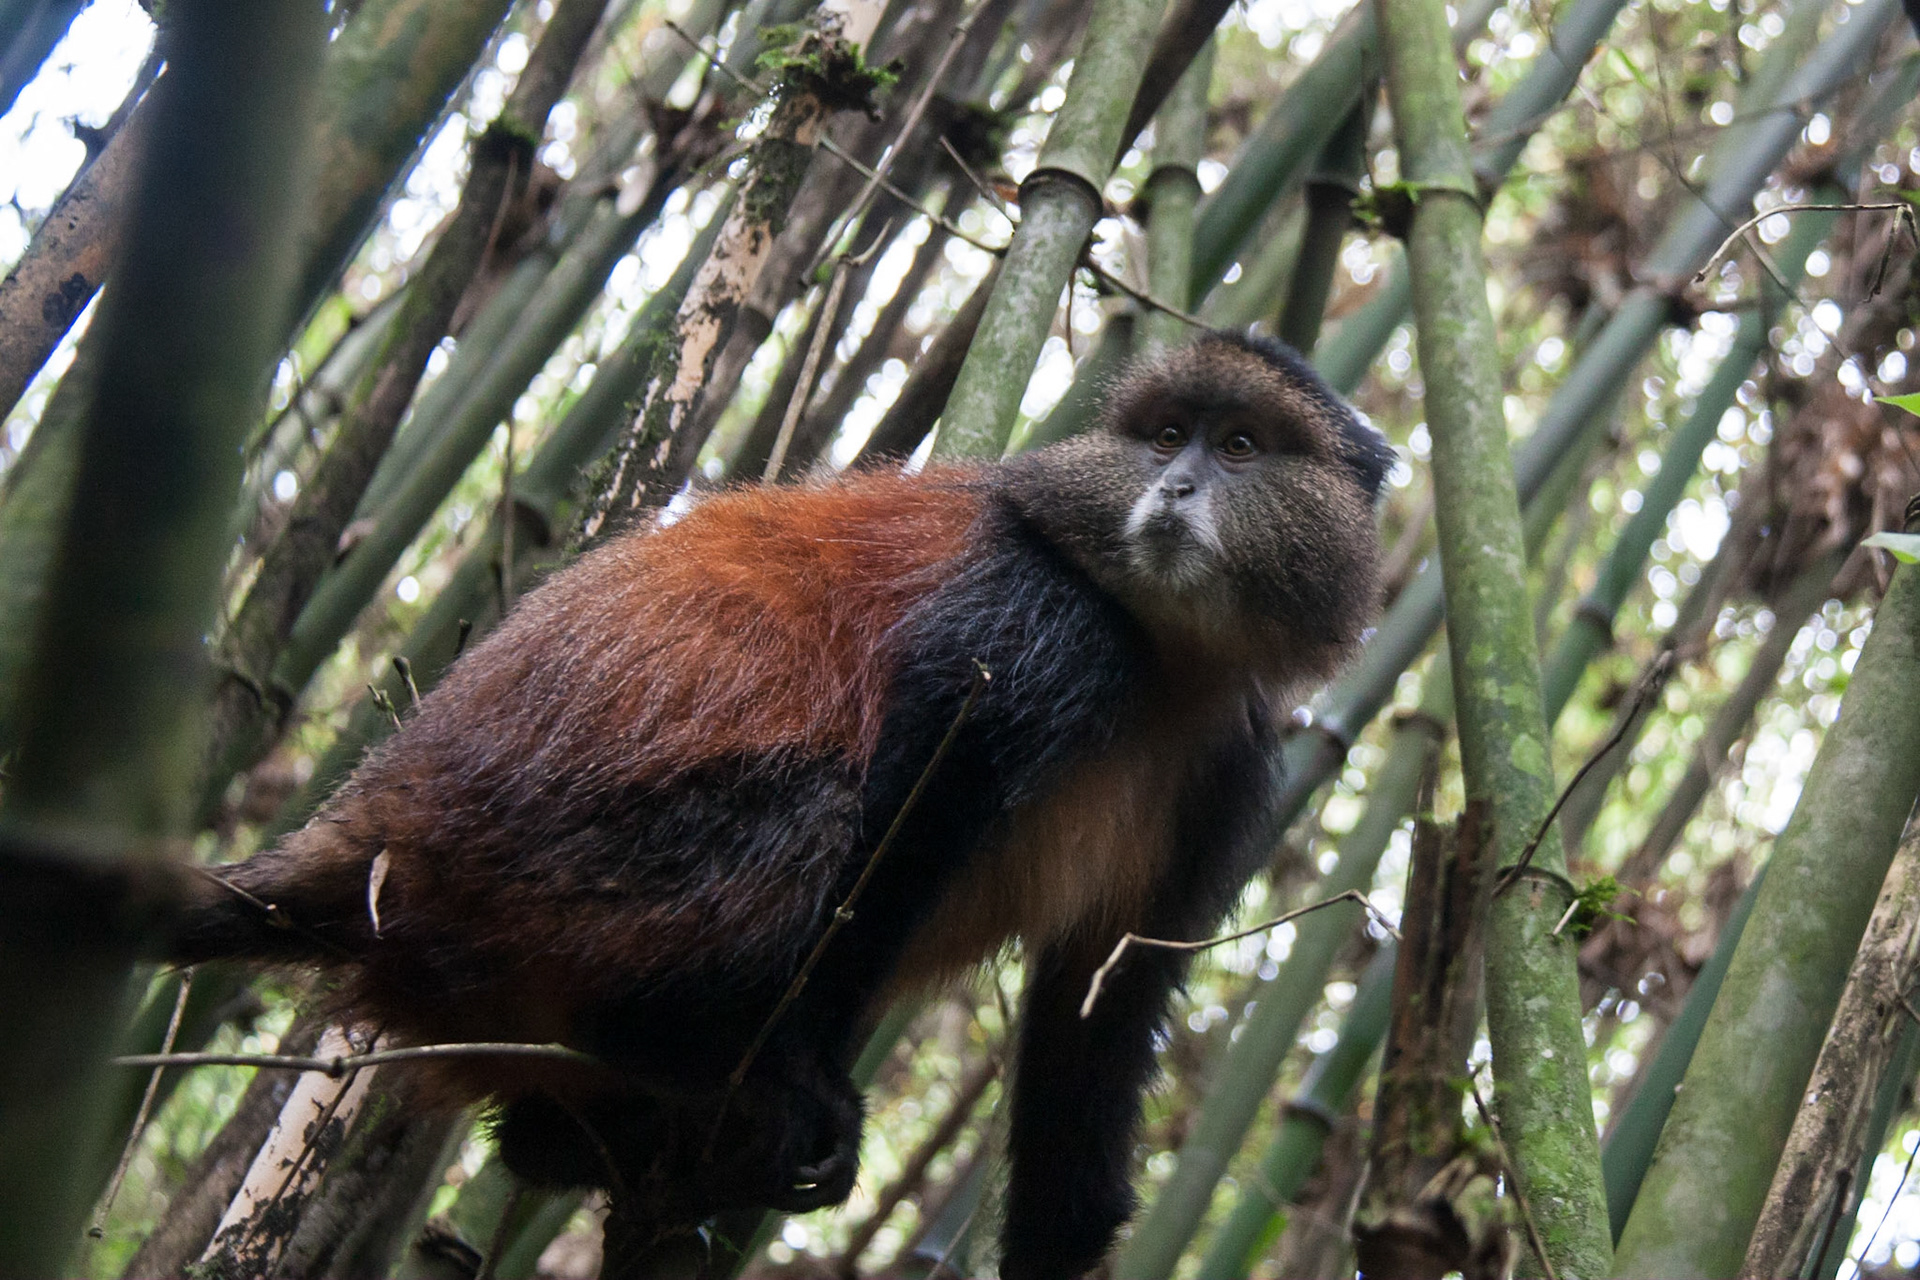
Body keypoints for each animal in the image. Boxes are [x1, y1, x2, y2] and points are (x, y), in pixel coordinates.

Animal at [165, 330, 1393, 1279]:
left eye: (1239, 445)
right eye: (1166, 433)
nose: (1175, 486)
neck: (1163, 658)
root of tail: (385, 821)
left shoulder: (1228, 772)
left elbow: (1106, 1005)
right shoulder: (1038, 631)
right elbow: (914, 801)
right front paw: (798, 1084)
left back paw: (571, 1143)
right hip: (562, 878)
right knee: (818, 816)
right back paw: (702, 1065)